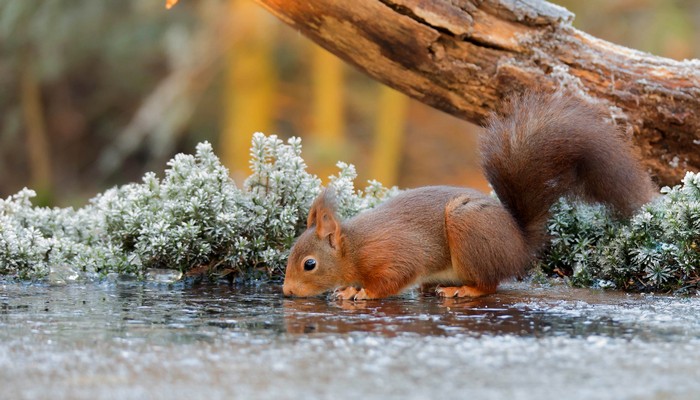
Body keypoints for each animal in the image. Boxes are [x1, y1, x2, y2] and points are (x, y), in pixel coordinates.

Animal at [278, 92, 656, 300]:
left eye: (309, 264)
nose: (287, 292)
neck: (354, 248)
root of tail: (519, 246)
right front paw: (345, 289)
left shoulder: (394, 255)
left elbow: (392, 279)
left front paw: (359, 292)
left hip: (468, 229)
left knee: (489, 284)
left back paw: (464, 289)